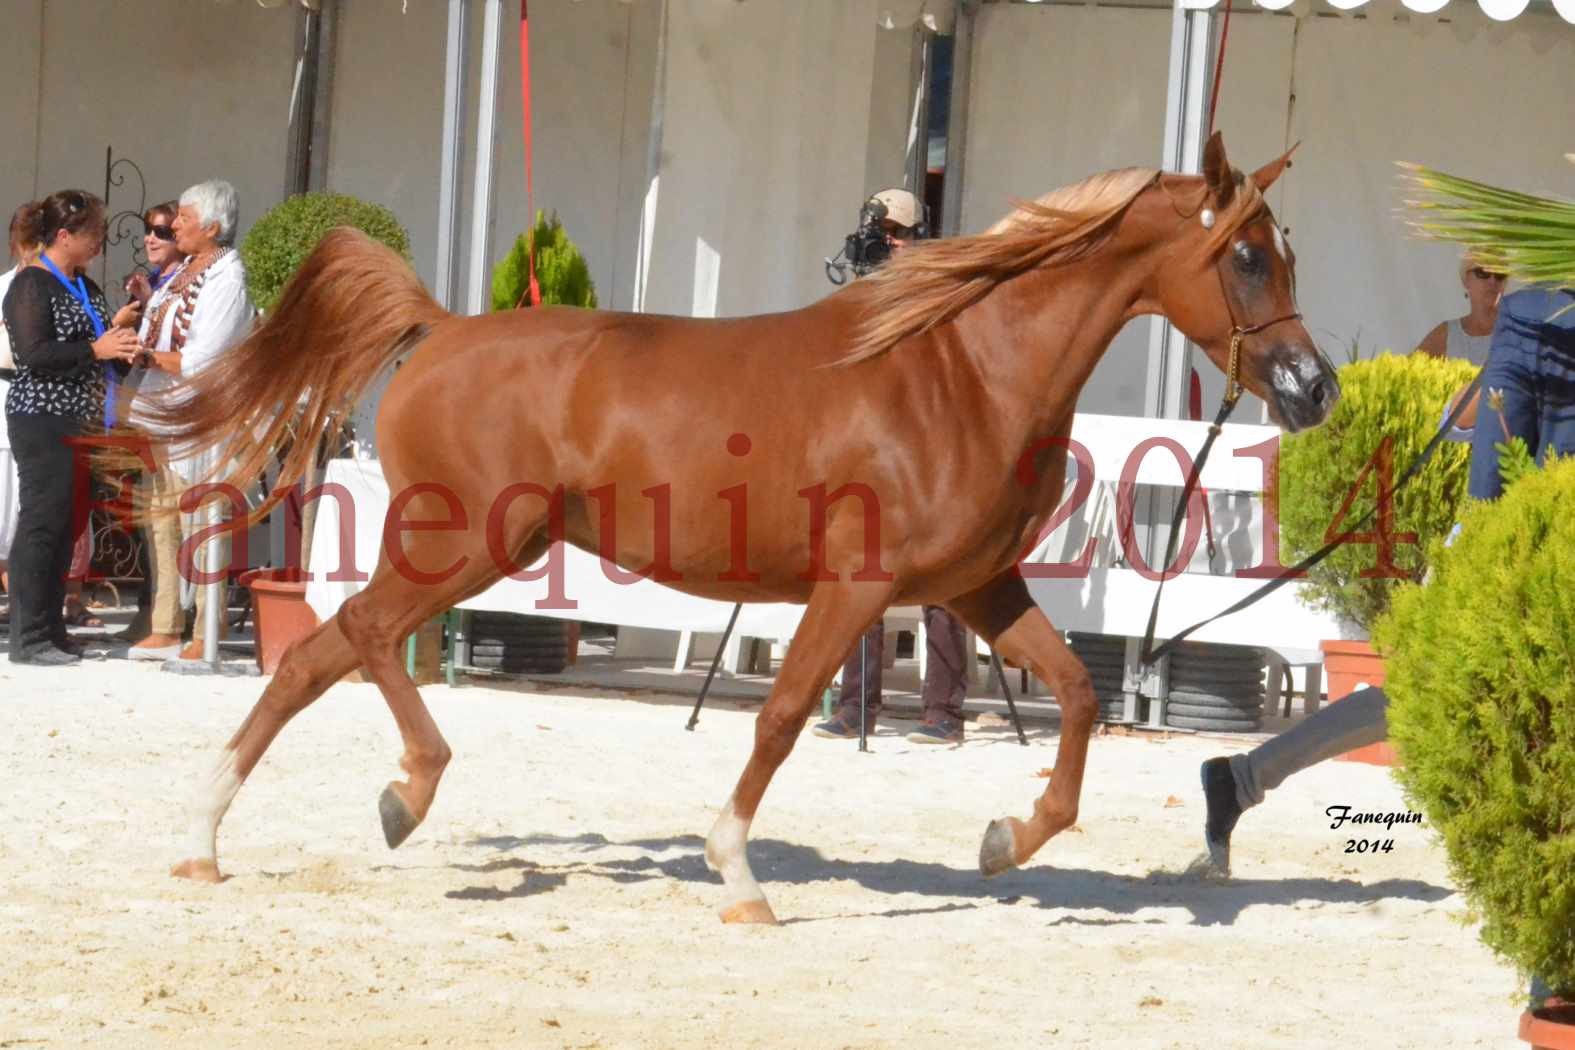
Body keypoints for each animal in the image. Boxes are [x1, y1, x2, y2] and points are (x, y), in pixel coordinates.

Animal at [148, 133, 1335, 925]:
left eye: (1286, 252)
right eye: (1245, 257)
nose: (1311, 387)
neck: (963, 372)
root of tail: (437, 330)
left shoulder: (974, 586)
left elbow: (1082, 695)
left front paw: (1006, 839)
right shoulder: (859, 588)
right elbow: (783, 715)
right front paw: (737, 876)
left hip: (483, 550)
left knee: (338, 651)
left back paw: (260, 827)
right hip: (462, 546)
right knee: (345, 643)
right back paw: (341, 805)